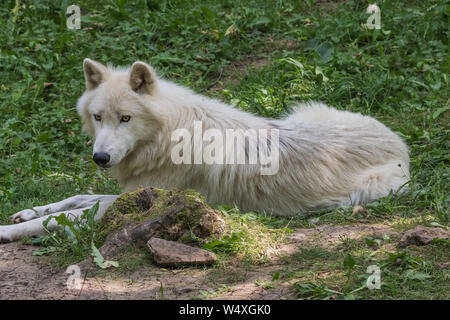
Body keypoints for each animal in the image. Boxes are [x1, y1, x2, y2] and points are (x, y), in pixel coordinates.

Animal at [0, 58, 410, 241]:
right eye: (98, 117)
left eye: (126, 119)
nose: (100, 158)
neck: (166, 137)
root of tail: (400, 143)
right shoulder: (130, 193)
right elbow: (77, 197)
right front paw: (26, 211)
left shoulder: (141, 201)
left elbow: (70, 214)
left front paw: (9, 230)